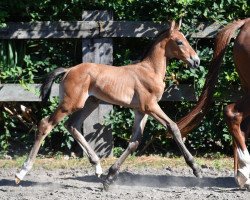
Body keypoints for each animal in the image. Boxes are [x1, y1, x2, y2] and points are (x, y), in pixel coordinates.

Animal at [14, 19, 201, 188]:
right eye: (179, 41)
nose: (196, 61)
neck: (150, 71)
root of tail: (69, 70)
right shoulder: (151, 106)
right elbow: (173, 127)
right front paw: (196, 168)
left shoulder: (141, 110)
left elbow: (134, 142)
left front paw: (110, 177)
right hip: (70, 104)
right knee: (46, 124)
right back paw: (21, 173)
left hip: (89, 103)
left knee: (72, 125)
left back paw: (97, 167)